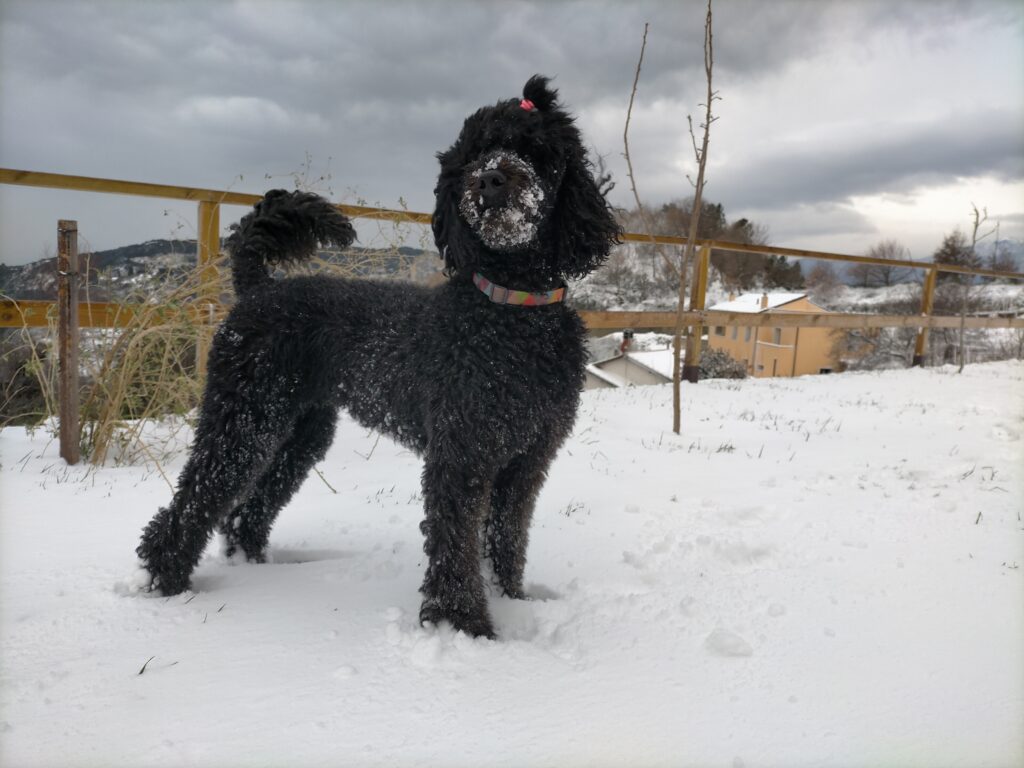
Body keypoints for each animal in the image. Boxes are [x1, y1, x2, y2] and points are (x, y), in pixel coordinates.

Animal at [134, 76, 614, 638]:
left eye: (535, 150)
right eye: (474, 153)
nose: (491, 180)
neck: (511, 310)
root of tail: (258, 288)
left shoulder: (526, 462)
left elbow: (508, 536)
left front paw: (512, 599)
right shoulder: (461, 455)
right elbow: (455, 545)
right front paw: (465, 626)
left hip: (299, 429)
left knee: (244, 512)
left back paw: (259, 571)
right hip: (243, 419)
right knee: (197, 497)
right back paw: (168, 582)